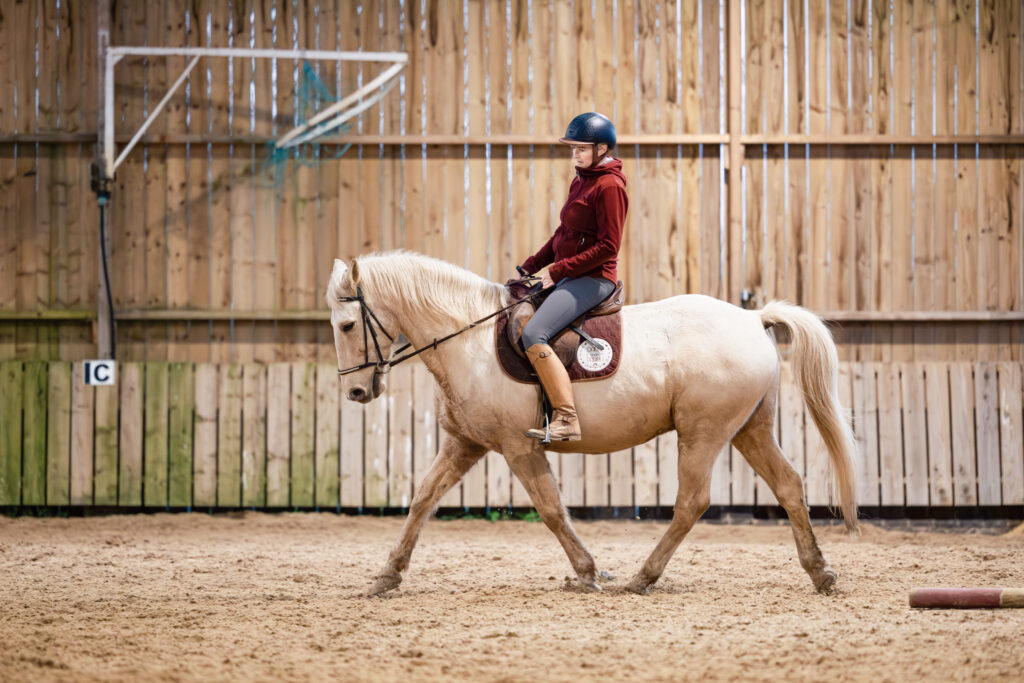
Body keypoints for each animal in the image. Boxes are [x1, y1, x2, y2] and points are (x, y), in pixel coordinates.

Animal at [325, 250, 858, 596]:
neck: (469, 340)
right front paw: (387, 575)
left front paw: (588, 571)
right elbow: (421, 501)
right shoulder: (464, 444)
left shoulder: (519, 448)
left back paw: (643, 577)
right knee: (789, 485)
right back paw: (820, 571)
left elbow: (552, 510)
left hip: (703, 433)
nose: (356, 393)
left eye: (348, 325)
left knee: (692, 502)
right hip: (751, 430)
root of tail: (753, 319)